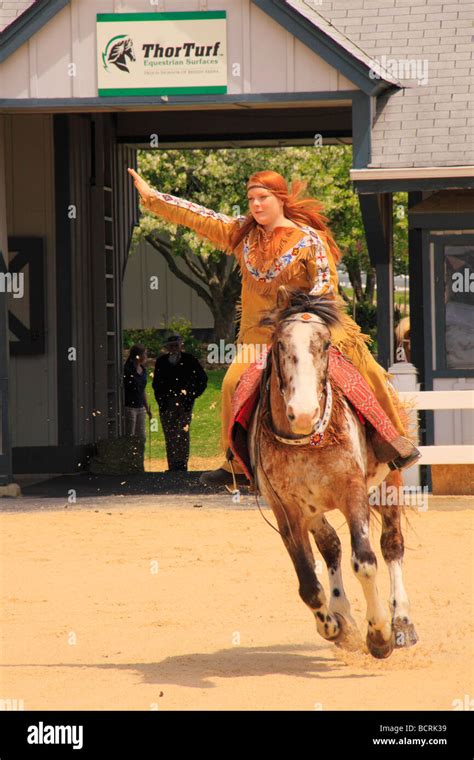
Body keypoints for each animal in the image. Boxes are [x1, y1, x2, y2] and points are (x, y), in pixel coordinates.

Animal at [248, 286, 418, 660]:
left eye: (325, 344)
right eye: (280, 343)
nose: (304, 412)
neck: (308, 441)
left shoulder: (352, 493)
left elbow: (365, 562)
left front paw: (380, 634)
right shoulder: (287, 512)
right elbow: (309, 585)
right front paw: (336, 627)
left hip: (389, 485)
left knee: (392, 546)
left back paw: (401, 622)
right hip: (314, 510)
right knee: (331, 547)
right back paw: (341, 613)